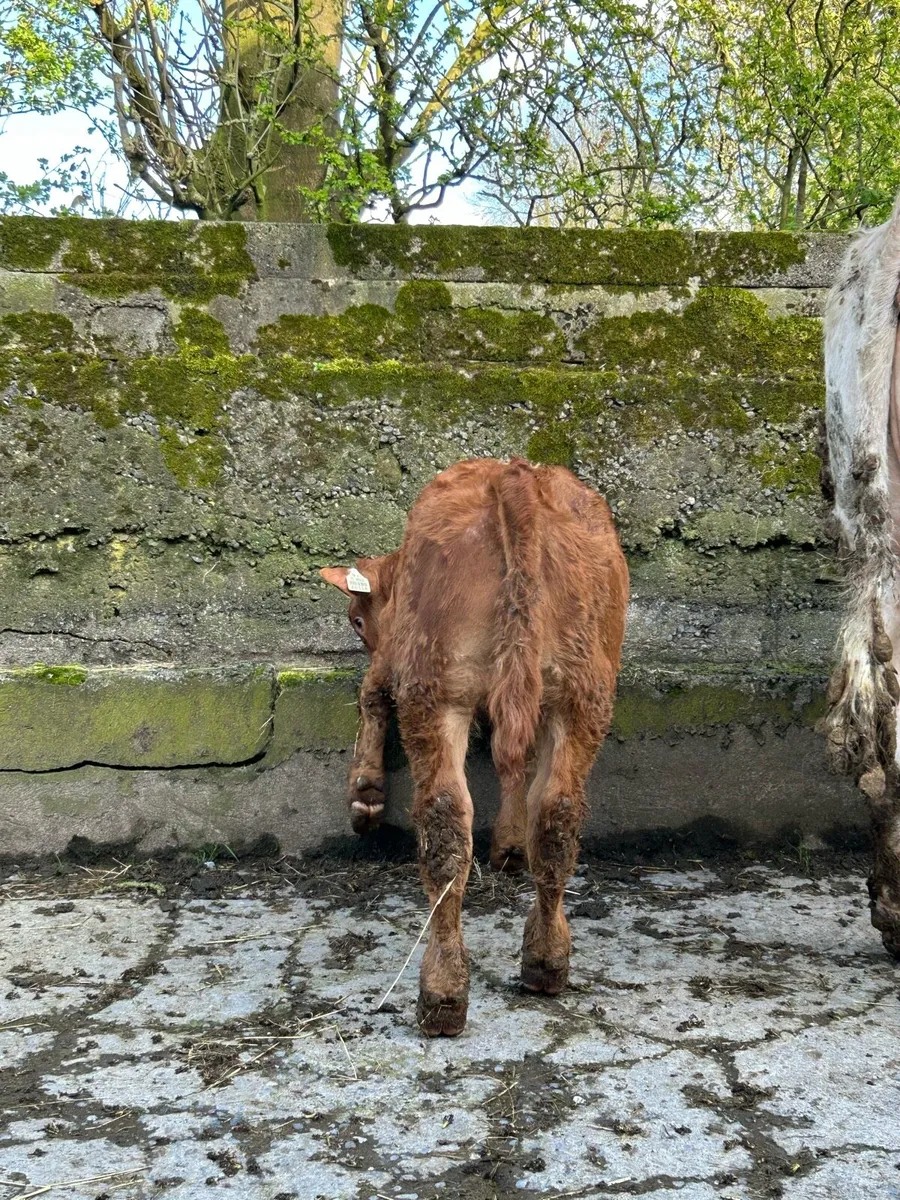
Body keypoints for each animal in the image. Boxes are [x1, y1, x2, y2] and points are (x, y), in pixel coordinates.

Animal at [321, 457, 629, 1035]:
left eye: (357, 620)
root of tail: (516, 476)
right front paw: (509, 844)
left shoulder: (398, 659)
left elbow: (372, 690)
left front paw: (365, 793)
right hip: (582, 695)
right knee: (556, 813)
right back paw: (546, 960)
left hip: (435, 690)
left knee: (445, 824)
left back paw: (442, 992)